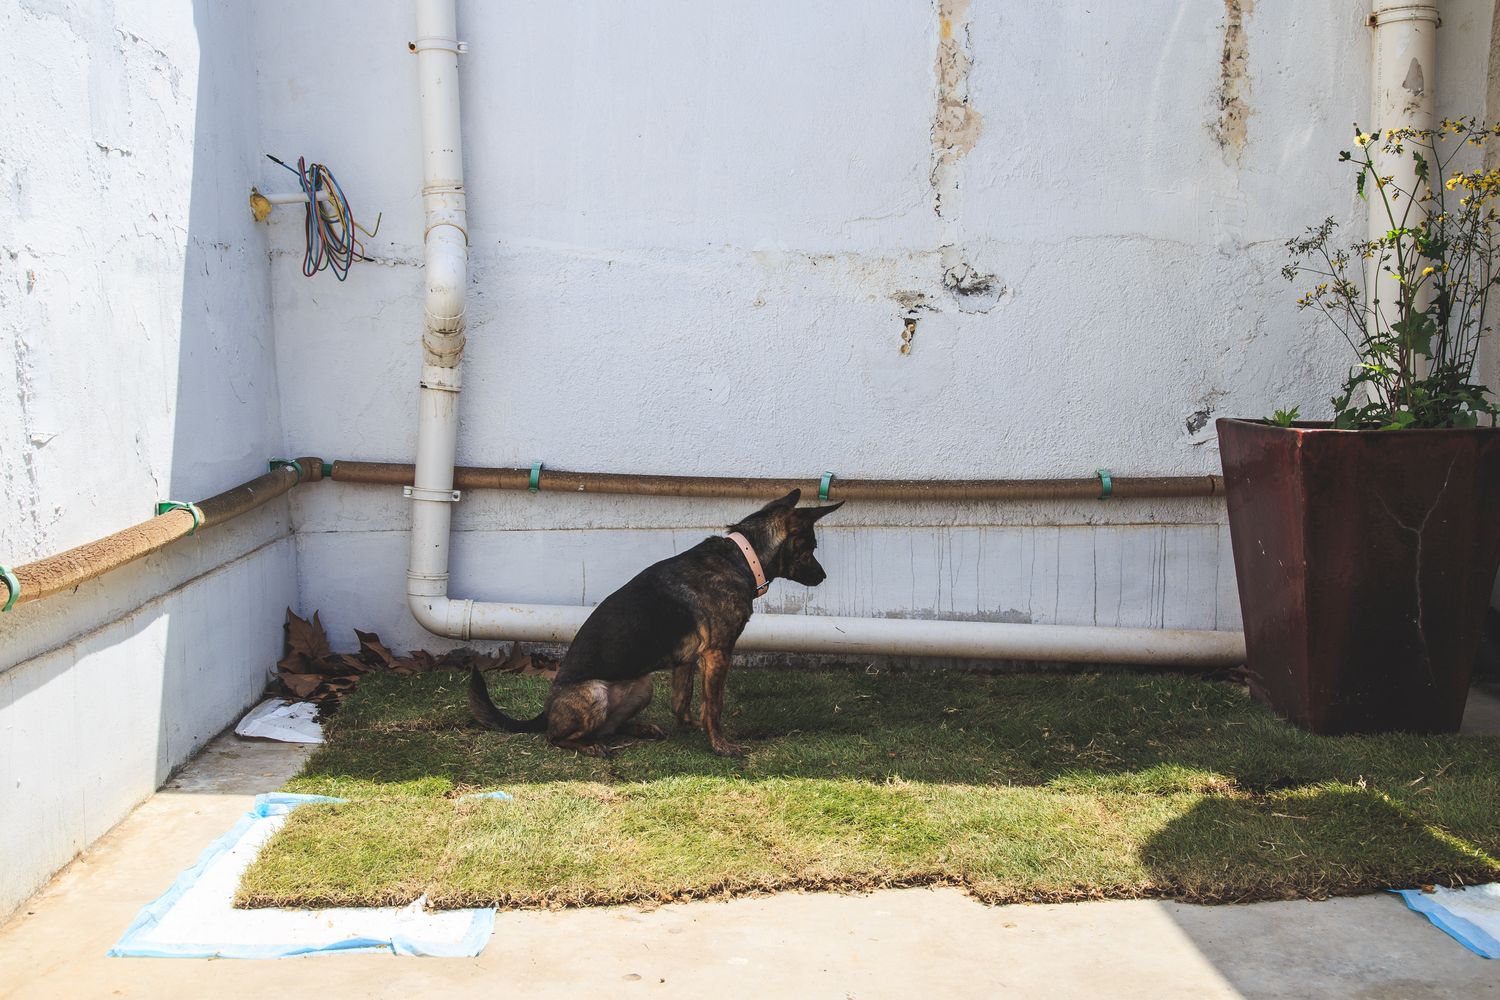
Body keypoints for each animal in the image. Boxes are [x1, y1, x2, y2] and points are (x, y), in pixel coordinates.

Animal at [465, 488, 840, 755]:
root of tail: (544, 712)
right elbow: (713, 706)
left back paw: (639, 728)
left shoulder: (688, 660)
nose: (823, 577)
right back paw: (589, 747)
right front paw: (721, 746)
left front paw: (689, 727)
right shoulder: (718, 653)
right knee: (556, 736)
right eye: (810, 548)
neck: (741, 558)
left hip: (642, 686)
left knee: (611, 726)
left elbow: (682, 700)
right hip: (594, 693)